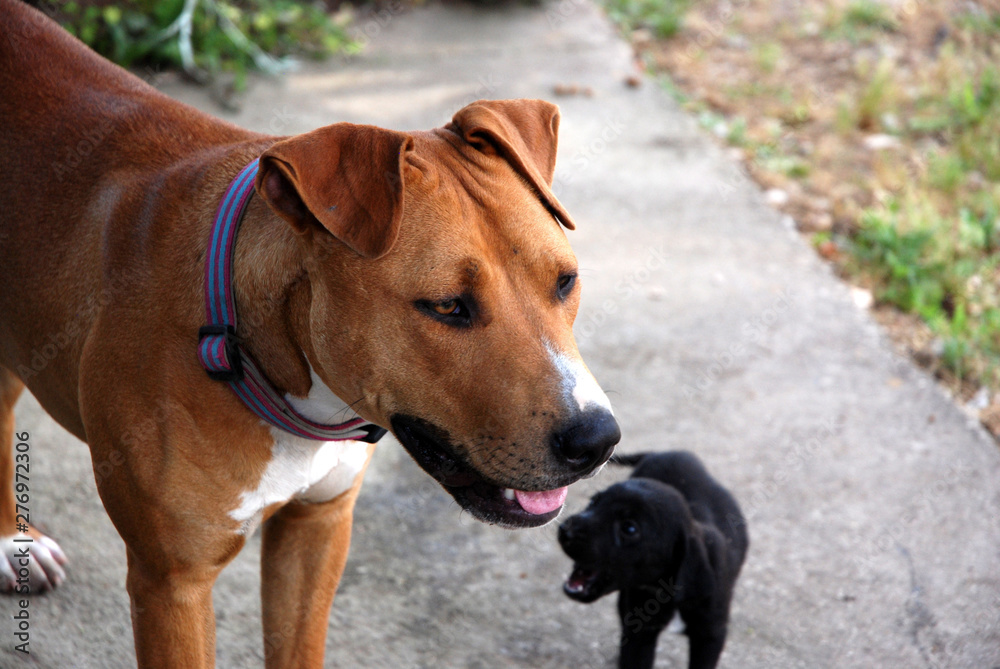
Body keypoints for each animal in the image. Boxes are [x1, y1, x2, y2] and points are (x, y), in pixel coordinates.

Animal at [560, 448, 748, 668]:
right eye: (592, 503)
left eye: (629, 528)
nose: (565, 530)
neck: (663, 589)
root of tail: (667, 452)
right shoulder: (640, 634)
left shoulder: (710, 635)